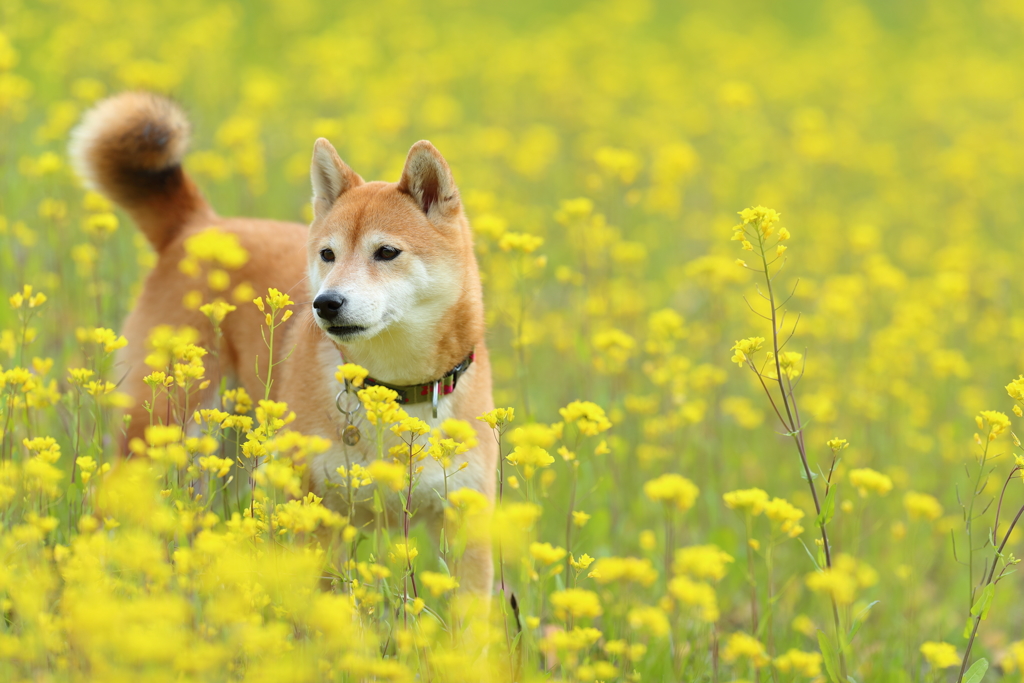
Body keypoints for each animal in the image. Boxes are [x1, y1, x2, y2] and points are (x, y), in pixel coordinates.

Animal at [70, 93, 497, 593]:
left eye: (387, 252)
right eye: (327, 254)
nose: (326, 303)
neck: (396, 392)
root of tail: (198, 227)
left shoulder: (466, 525)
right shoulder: (316, 514)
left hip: (225, 458)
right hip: (160, 433)